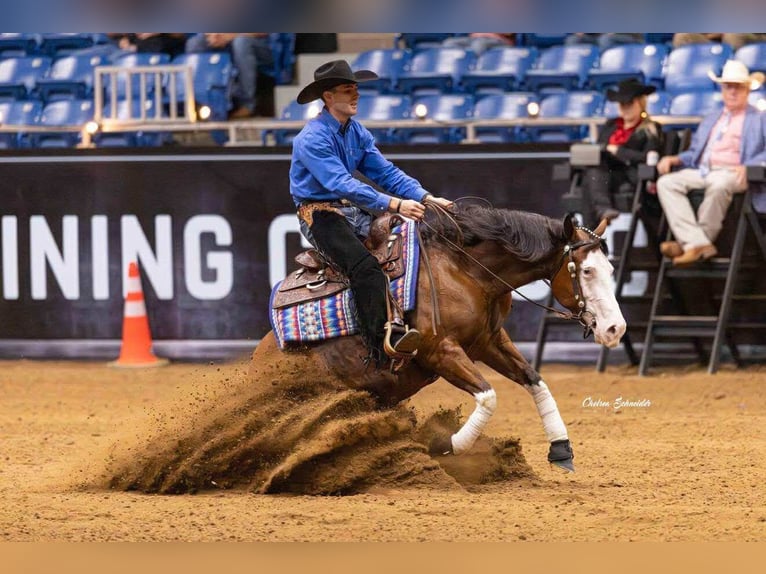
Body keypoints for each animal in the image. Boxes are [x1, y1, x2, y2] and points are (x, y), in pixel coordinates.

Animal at [251, 204, 626, 472]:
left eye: (611, 269)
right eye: (586, 270)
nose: (616, 329)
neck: (465, 270)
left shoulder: (489, 341)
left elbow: (535, 380)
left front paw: (560, 448)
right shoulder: (440, 352)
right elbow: (488, 396)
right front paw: (447, 445)